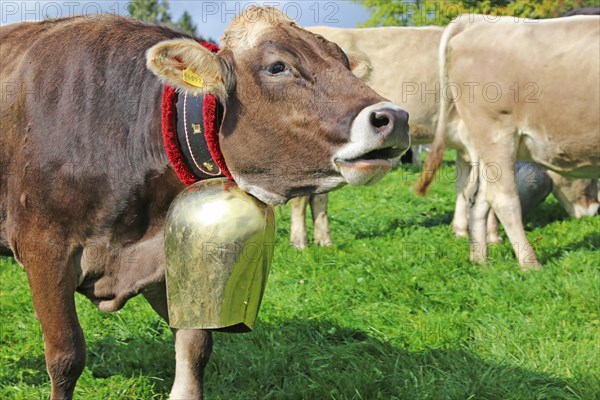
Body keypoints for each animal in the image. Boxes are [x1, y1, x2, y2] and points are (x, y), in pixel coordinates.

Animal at [0, 7, 408, 398]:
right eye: (278, 66)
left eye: (343, 61)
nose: (395, 117)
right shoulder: (44, 247)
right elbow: (66, 355)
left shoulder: (169, 257)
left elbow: (195, 344)